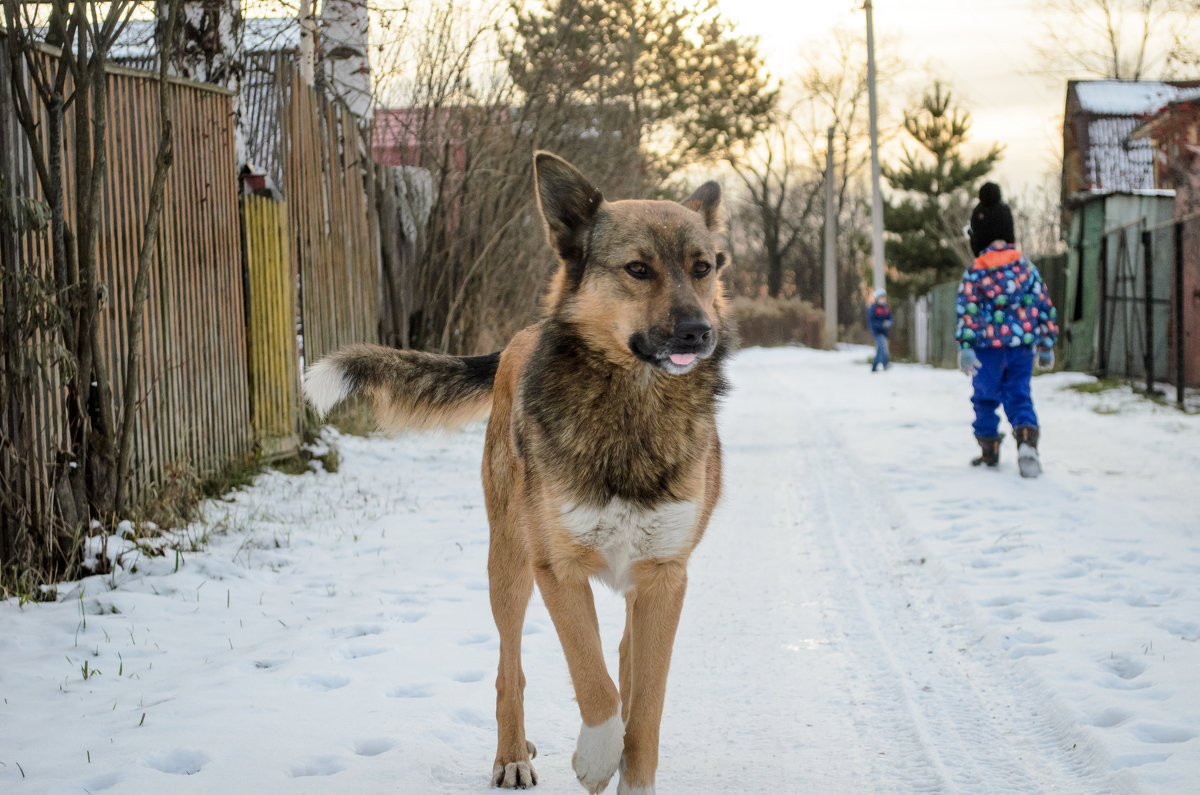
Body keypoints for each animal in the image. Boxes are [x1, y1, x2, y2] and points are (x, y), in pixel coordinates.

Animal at [300, 152, 729, 792]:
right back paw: (512, 754)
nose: (699, 332)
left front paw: (630, 771)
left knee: (623, 666)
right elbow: (592, 680)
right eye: (638, 269)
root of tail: (517, 339)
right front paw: (596, 755)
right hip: (508, 560)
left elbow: (643, 705)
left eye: (703, 268)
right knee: (511, 668)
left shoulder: (663, 580)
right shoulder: (557, 570)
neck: (633, 404)